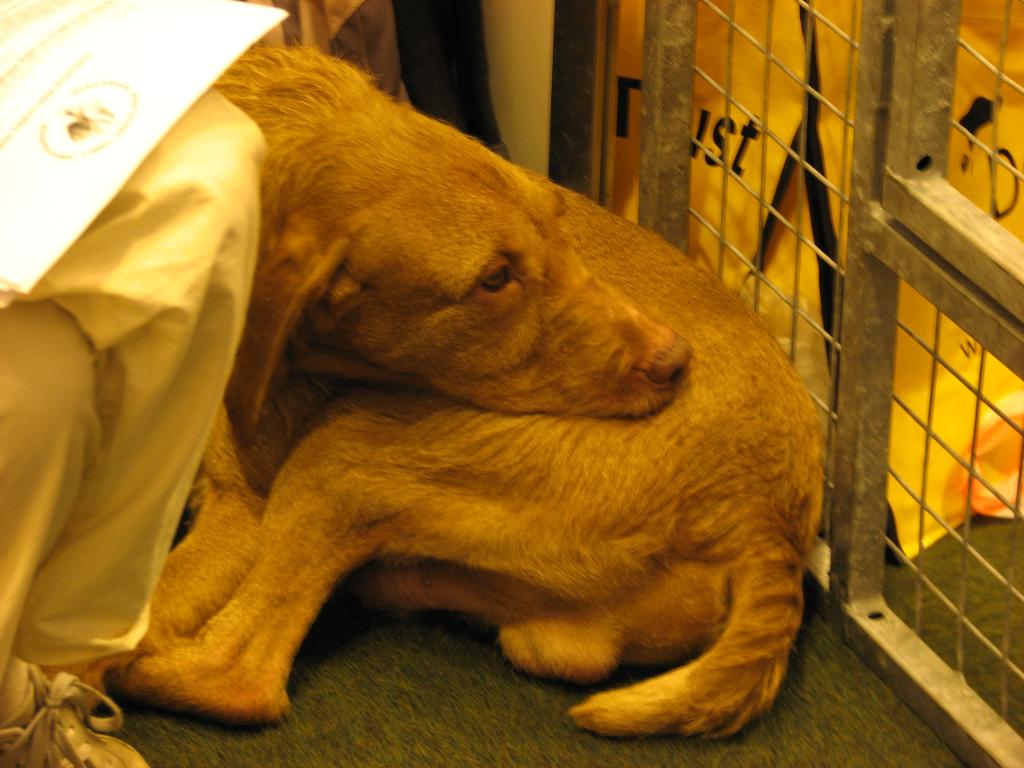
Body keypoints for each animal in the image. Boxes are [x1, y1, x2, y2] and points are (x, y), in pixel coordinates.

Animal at [96, 46, 823, 741]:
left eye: (557, 229)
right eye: (494, 279)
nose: (675, 360)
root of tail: (772, 525)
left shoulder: (240, 505)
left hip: (344, 449)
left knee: (233, 676)